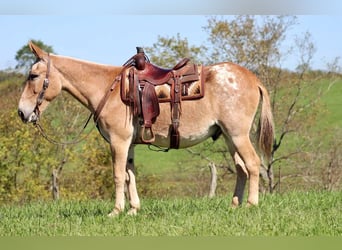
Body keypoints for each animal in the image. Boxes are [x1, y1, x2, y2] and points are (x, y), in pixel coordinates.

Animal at [18, 42, 276, 216]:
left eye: (33, 76)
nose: (21, 112)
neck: (107, 88)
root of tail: (253, 78)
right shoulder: (129, 144)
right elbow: (130, 175)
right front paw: (133, 209)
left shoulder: (119, 141)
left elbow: (118, 175)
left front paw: (116, 211)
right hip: (229, 137)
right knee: (241, 168)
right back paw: (234, 205)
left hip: (238, 135)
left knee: (253, 164)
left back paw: (251, 204)